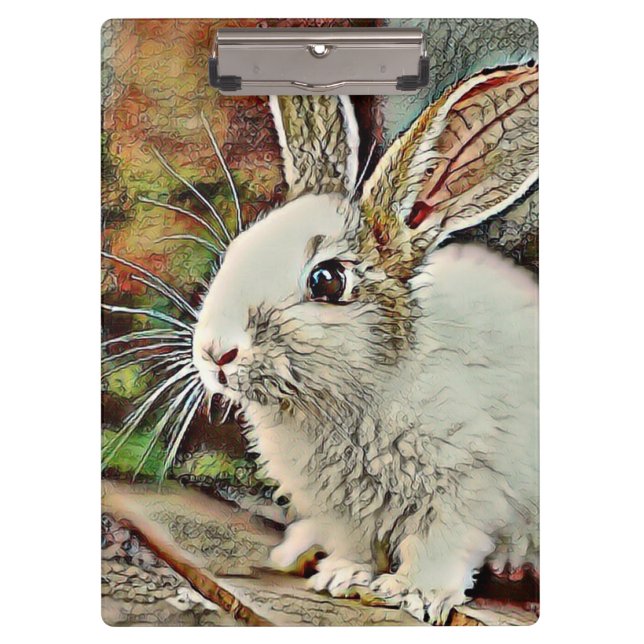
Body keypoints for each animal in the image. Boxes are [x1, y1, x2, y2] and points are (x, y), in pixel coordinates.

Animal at [192, 65, 539, 624]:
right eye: (236, 251)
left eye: (327, 281)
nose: (215, 353)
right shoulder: (342, 509)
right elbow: (355, 545)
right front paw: (343, 577)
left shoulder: (463, 493)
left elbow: (440, 548)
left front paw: (414, 595)